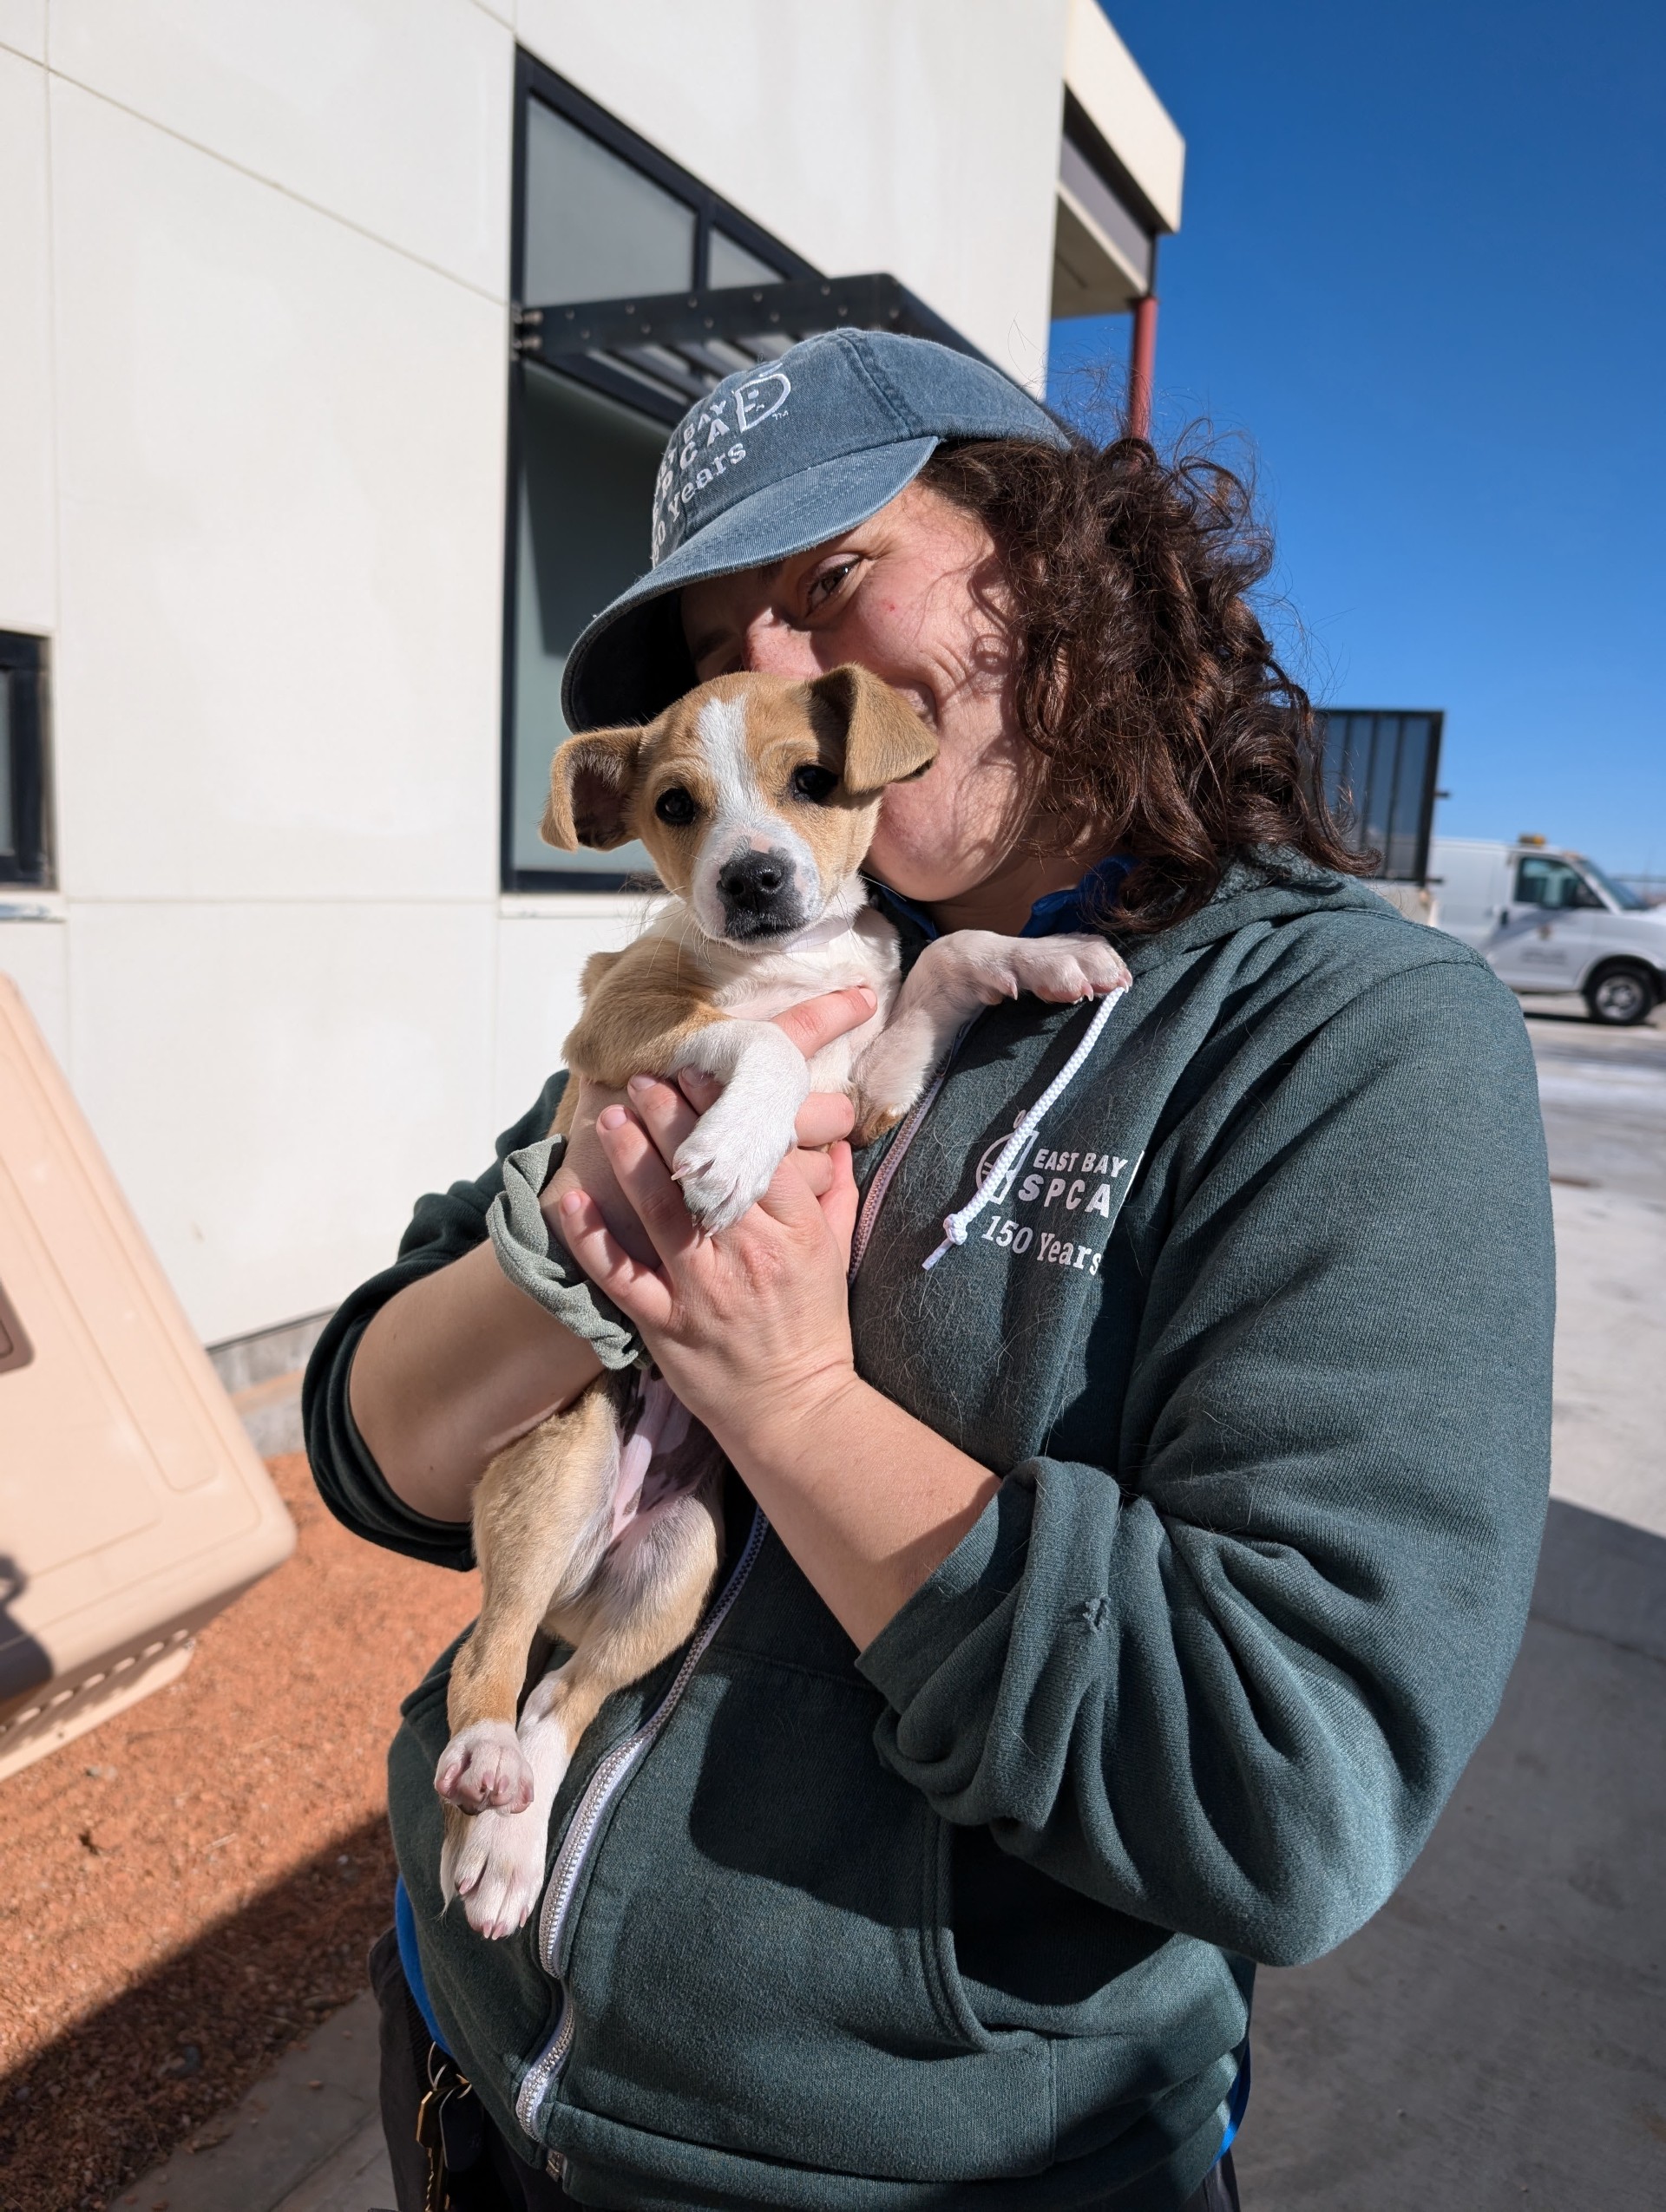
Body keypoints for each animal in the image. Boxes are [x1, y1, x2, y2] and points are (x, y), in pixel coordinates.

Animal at [431, 658, 1132, 1937]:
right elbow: (749, 1035)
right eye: (673, 806)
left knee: (563, 1696)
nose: (753, 878)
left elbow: (946, 964)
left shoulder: (868, 1096)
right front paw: (732, 1148)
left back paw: (508, 1847)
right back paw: (483, 1782)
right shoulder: (617, 1020)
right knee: (489, 1662)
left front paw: (1052, 957)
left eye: (813, 780)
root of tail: (582, 1574)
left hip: (678, 1561)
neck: (789, 961)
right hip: (560, 1470)